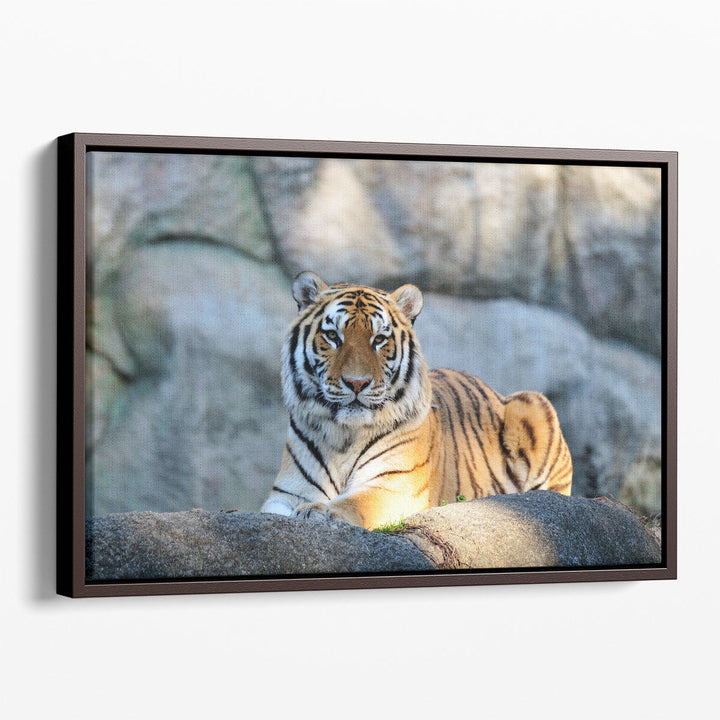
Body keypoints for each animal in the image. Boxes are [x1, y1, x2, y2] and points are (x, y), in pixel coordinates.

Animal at [261, 271, 573, 530]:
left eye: (379, 339)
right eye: (332, 336)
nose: (357, 383)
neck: (344, 436)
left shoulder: (394, 486)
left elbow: (353, 502)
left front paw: (317, 511)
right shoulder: (288, 493)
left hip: (533, 404)